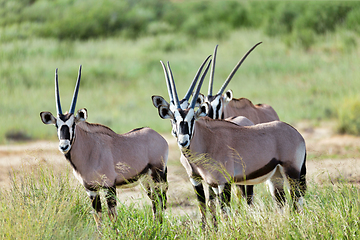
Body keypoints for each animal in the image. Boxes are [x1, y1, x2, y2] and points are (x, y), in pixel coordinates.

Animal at [40, 66, 169, 229]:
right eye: (57, 125)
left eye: (73, 124)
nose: (64, 146)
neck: (89, 151)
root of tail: (158, 136)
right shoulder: (91, 190)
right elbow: (98, 218)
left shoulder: (109, 186)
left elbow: (112, 216)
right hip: (146, 179)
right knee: (154, 202)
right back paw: (155, 227)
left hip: (158, 174)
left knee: (161, 201)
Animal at [155, 57, 306, 225]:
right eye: (174, 119)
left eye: (192, 118)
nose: (183, 141)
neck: (207, 140)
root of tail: (296, 133)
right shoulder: (209, 183)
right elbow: (206, 210)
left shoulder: (223, 183)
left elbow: (224, 213)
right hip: (276, 177)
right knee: (282, 203)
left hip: (292, 172)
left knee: (296, 201)